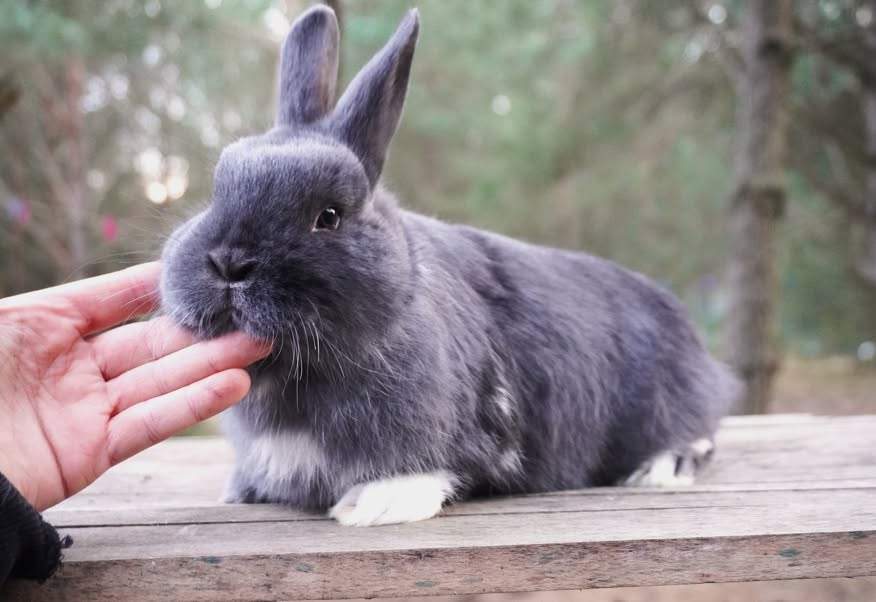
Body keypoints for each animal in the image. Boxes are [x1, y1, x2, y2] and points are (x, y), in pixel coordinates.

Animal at [160, 5, 739, 527]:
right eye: (218, 186)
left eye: (329, 215)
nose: (229, 262)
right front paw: (243, 491)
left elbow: (434, 470)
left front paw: (373, 507)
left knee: (697, 433)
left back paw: (660, 469)